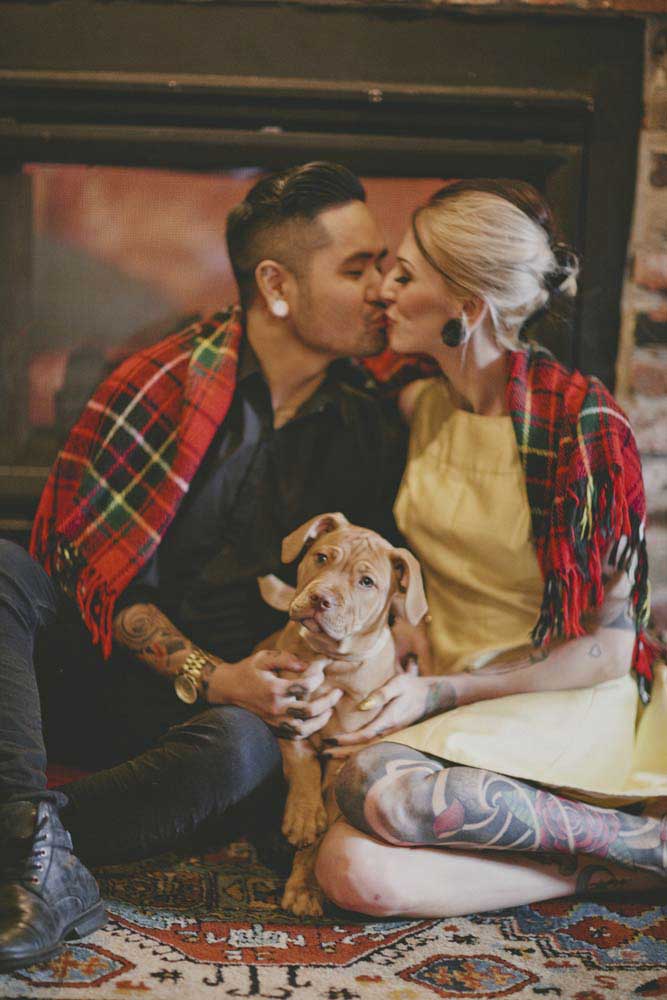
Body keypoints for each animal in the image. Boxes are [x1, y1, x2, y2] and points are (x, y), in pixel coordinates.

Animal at [257, 512, 428, 916]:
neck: (329, 661)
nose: (320, 599)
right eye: (321, 557)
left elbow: (321, 836)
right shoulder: (287, 712)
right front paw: (303, 816)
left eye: (366, 582)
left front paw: (305, 887)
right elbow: (302, 761)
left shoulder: (343, 753)